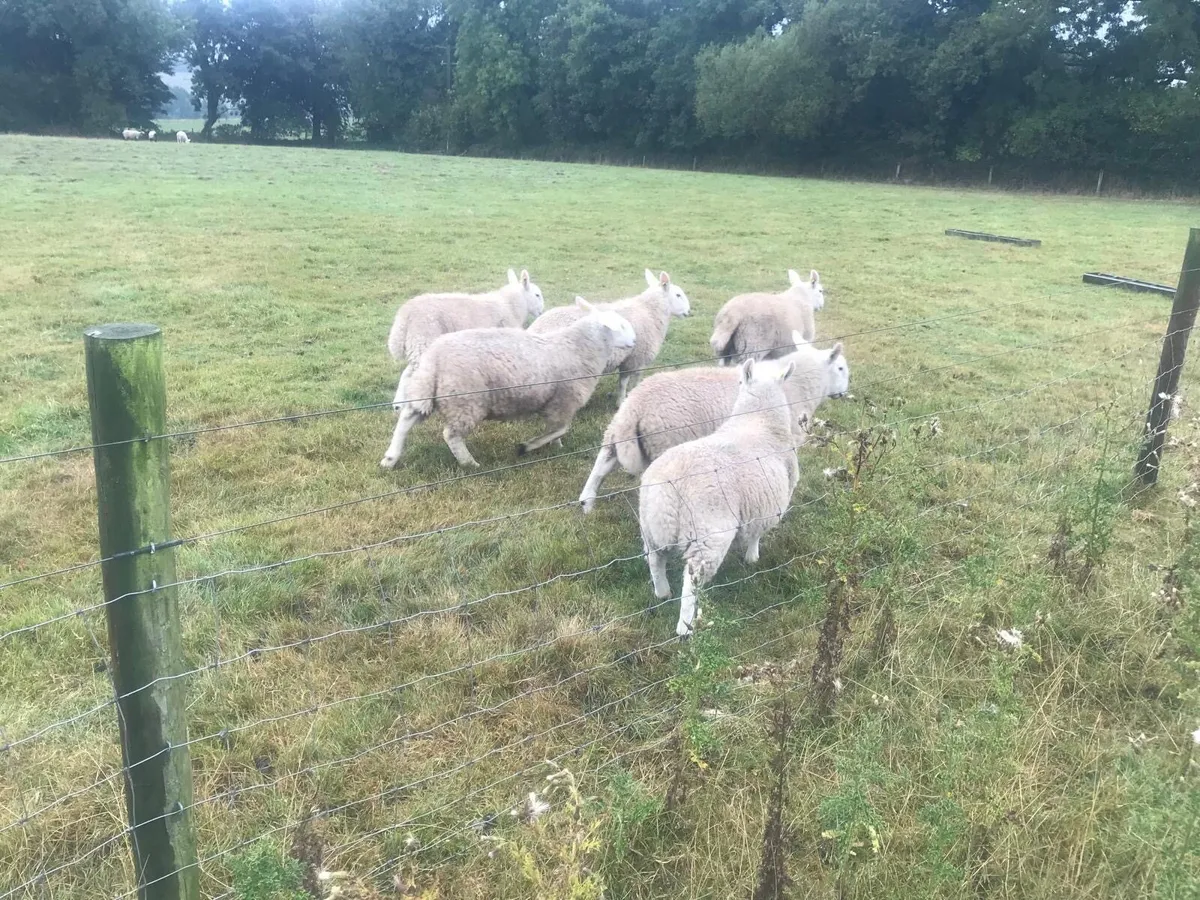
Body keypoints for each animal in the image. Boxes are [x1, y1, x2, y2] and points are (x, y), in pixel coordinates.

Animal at [380, 298, 636, 470]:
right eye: (621, 326)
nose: (634, 341)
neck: (577, 347)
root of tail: (434, 357)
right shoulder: (564, 400)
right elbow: (560, 428)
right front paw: (529, 446)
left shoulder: (556, 403)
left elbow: (557, 429)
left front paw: (556, 445)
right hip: (464, 400)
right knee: (451, 435)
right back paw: (469, 463)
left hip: (429, 390)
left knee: (407, 418)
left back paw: (390, 458)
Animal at [386, 268, 545, 404]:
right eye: (537, 295)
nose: (542, 312)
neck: (510, 305)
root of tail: (403, 316)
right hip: (423, 340)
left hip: (416, 344)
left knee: (406, 373)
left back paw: (398, 404)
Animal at [527, 270, 690, 405]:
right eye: (678, 295)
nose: (689, 312)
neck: (650, 311)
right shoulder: (634, 359)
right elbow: (627, 382)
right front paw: (622, 401)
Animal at [579, 333, 848, 512]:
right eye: (841, 368)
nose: (845, 393)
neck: (802, 384)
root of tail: (635, 405)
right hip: (665, 442)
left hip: (618, 435)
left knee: (602, 464)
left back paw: (586, 503)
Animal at [638, 357, 801, 637]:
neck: (760, 420)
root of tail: (667, 486)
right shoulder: (766, 506)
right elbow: (756, 534)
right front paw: (753, 557)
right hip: (706, 535)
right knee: (692, 581)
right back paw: (685, 627)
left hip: (650, 528)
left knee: (655, 561)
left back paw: (662, 593)